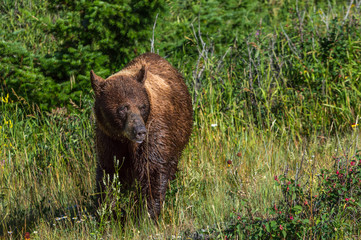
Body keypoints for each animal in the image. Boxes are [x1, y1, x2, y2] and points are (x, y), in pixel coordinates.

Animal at [89, 52, 193, 219]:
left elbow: (152, 171)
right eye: (123, 108)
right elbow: (109, 173)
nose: (140, 131)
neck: (124, 139)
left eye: (142, 106)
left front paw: (147, 214)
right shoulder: (108, 139)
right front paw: (108, 210)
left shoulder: (154, 133)